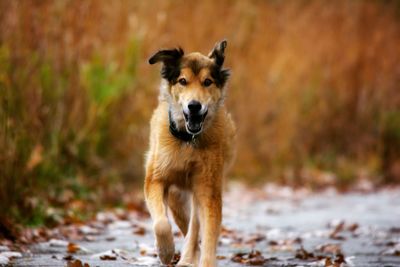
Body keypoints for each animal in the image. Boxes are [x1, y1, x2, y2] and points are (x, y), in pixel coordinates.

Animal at [145, 40, 236, 267]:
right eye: (183, 81)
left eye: (207, 82)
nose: (194, 106)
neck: (188, 141)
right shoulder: (155, 179)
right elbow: (161, 223)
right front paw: (165, 251)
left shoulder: (209, 188)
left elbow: (209, 232)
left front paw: (205, 260)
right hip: (177, 198)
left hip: (198, 190)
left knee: (194, 227)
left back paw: (188, 257)